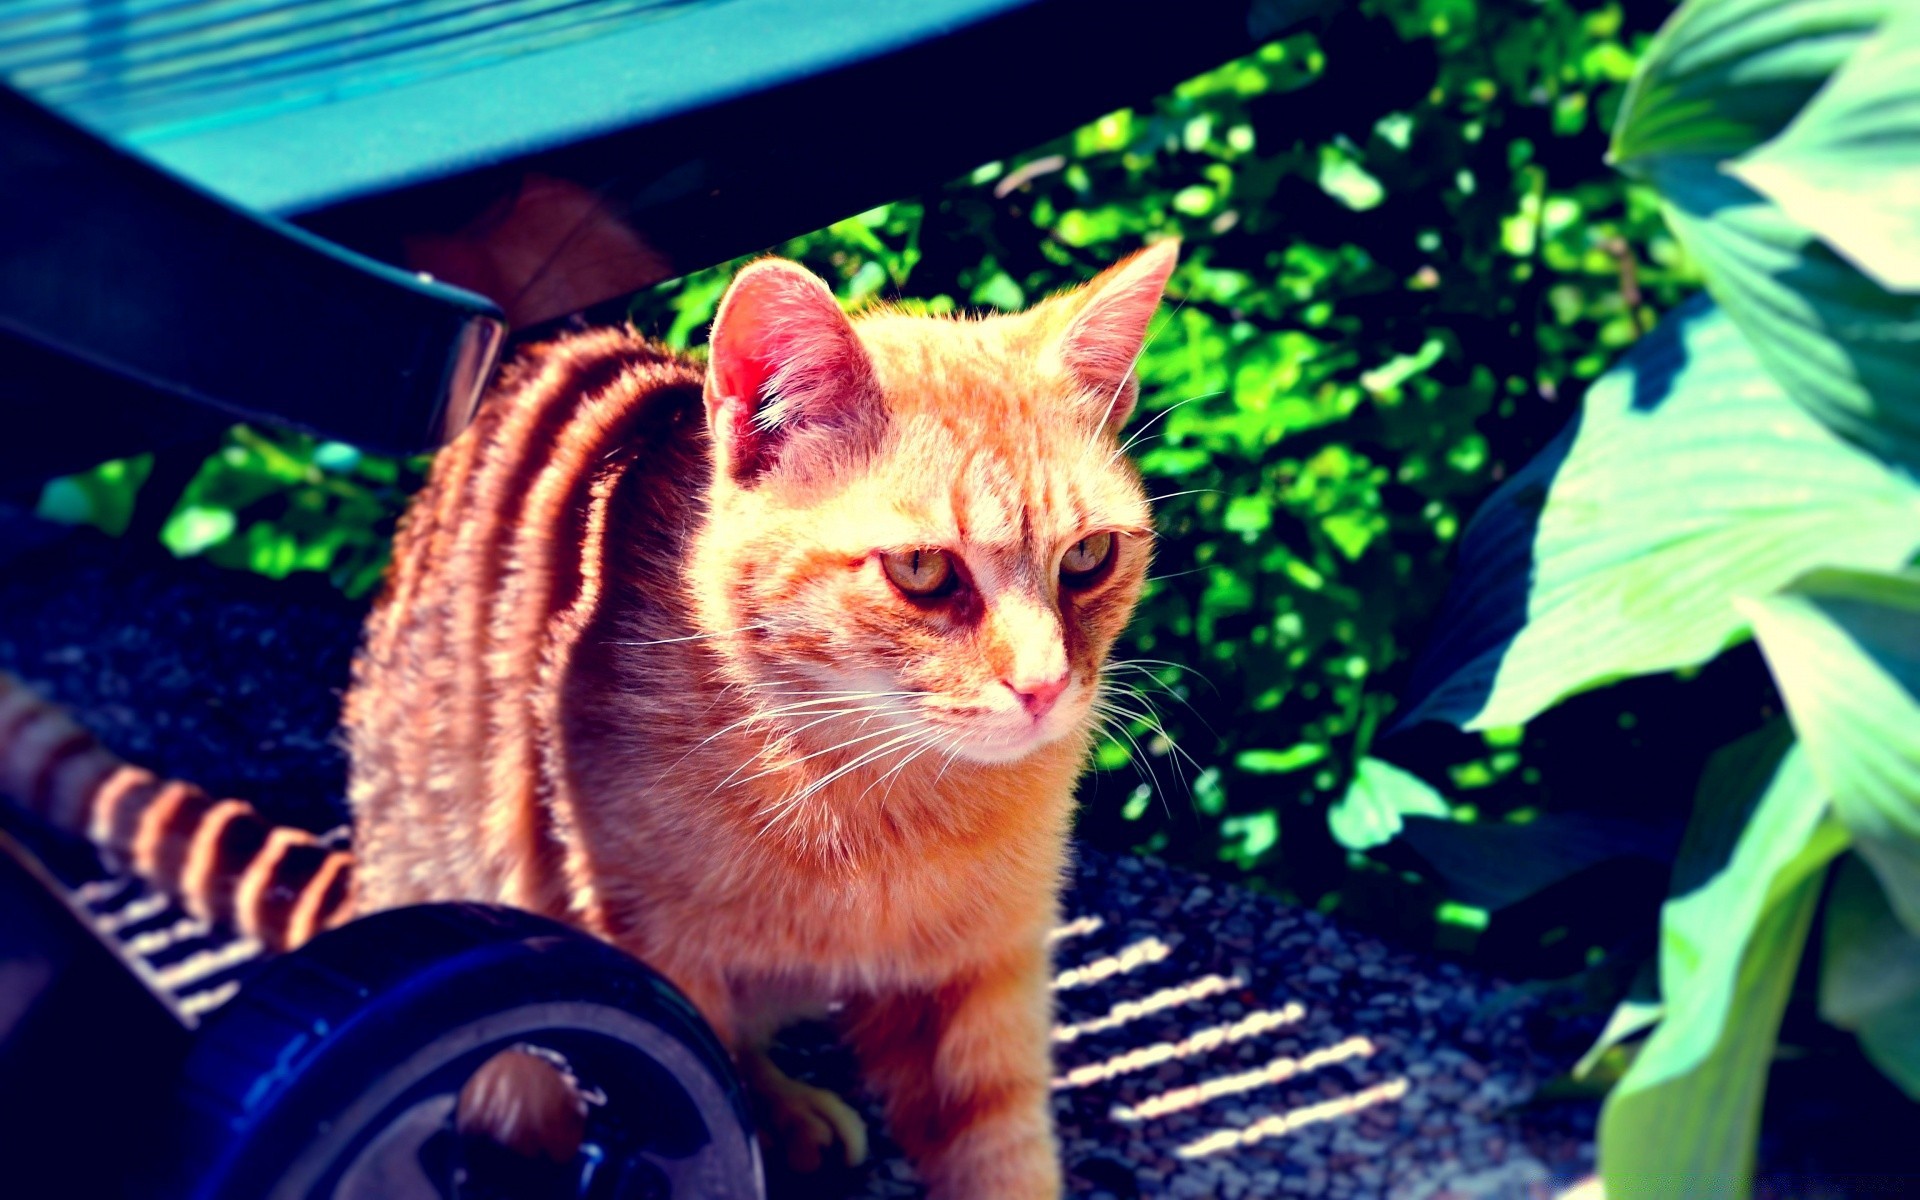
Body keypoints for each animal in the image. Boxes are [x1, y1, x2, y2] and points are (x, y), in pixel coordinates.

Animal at [0, 239, 1175, 1190]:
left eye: (1088, 558)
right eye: (925, 572)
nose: (1044, 687)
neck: (875, 790)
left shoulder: (985, 988)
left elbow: (1000, 1157)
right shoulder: (641, 943)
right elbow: (707, 1072)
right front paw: (761, 1120)